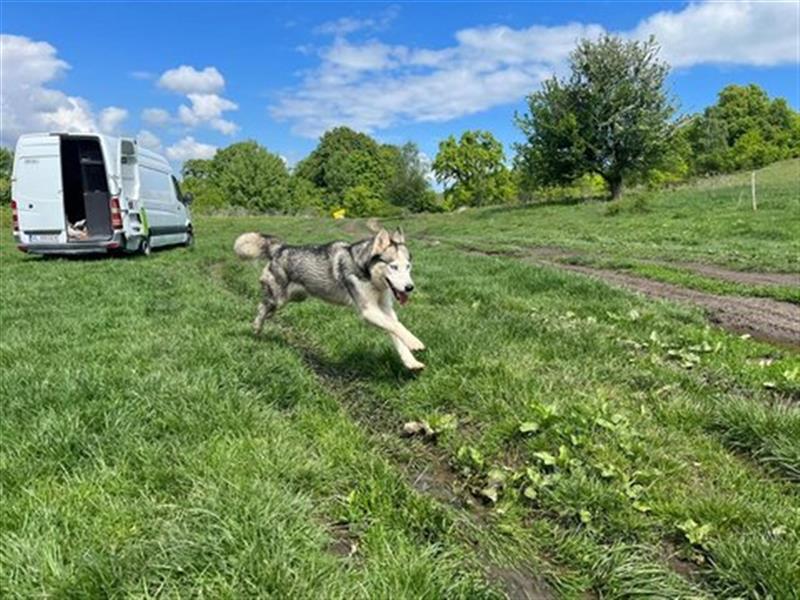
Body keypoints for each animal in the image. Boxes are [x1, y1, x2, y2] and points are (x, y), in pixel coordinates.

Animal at [234, 227, 428, 370]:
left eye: (408, 266)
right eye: (393, 267)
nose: (410, 287)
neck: (367, 272)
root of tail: (280, 248)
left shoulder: (386, 310)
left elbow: (396, 329)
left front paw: (411, 361)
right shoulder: (368, 311)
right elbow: (396, 326)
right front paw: (415, 342)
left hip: (296, 297)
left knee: (267, 309)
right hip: (279, 298)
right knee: (261, 307)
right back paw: (257, 328)